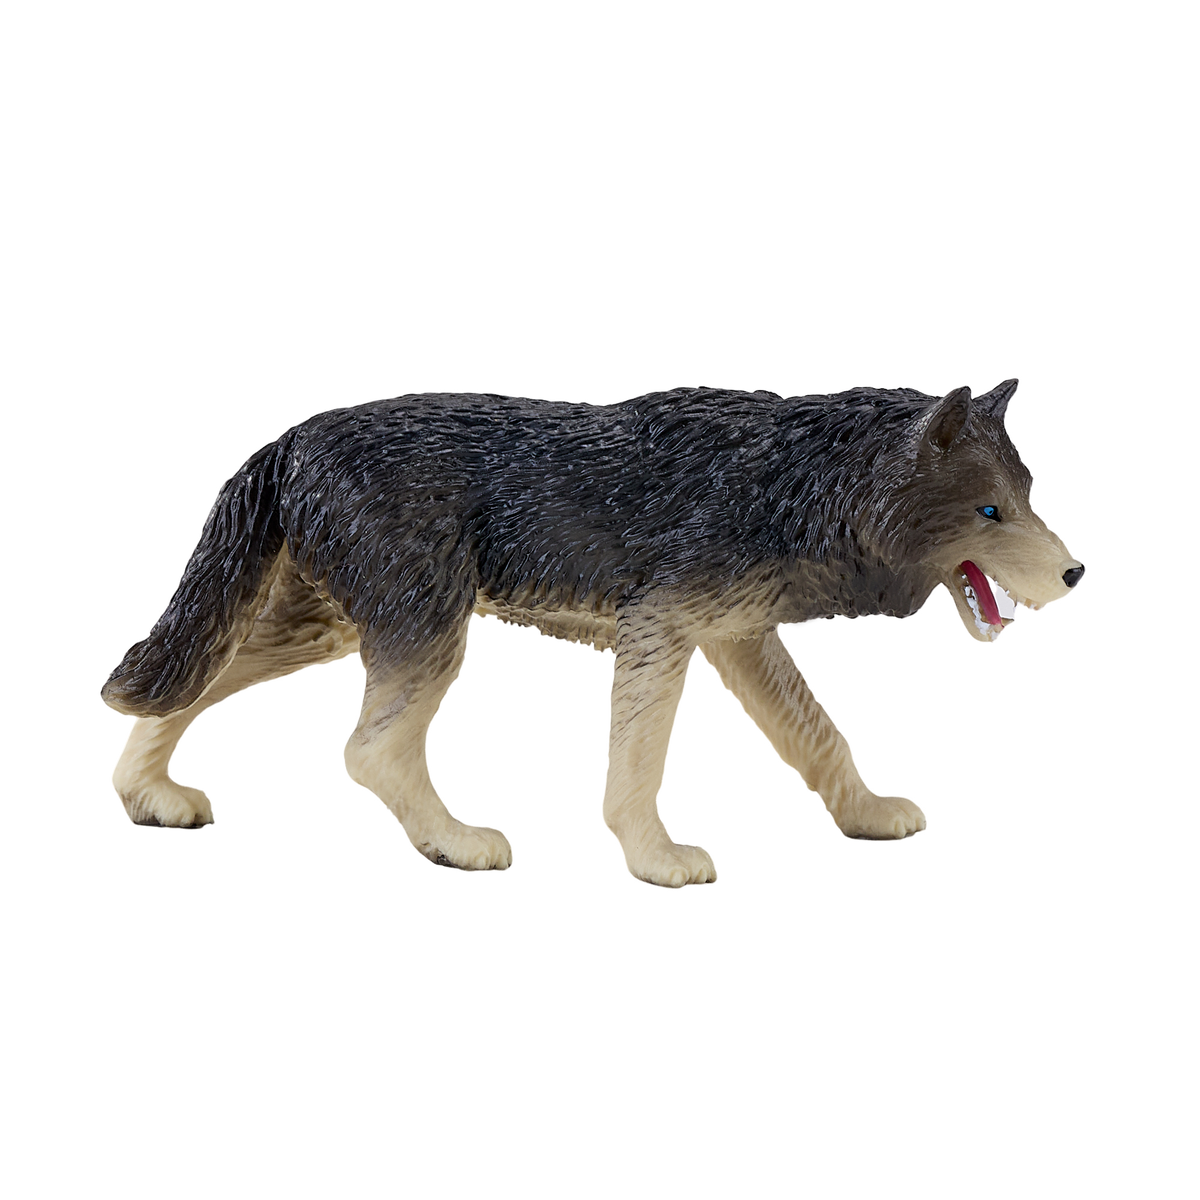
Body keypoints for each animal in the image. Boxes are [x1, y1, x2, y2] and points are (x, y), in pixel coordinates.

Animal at [99, 375, 1085, 888]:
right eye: (990, 511)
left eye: (1030, 500)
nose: (1079, 574)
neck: (800, 483)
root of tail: (288, 437)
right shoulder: (664, 626)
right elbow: (639, 762)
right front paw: (653, 856)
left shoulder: (737, 637)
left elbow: (819, 735)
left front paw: (866, 816)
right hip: (425, 632)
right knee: (369, 752)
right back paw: (456, 844)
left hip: (332, 627)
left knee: (188, 681)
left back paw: (148, 796)